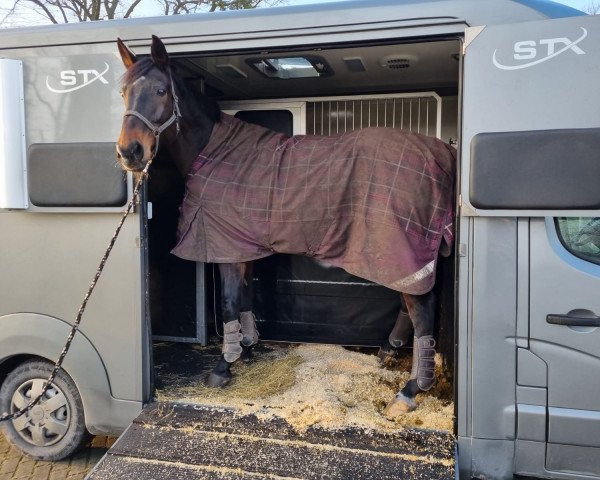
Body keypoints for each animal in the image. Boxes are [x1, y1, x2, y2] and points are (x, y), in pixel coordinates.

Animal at [116, 35, 454, 414]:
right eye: (123, 92)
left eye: (161, 90)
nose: (130, 152)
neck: (216, 152)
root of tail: (441, 152)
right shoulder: (243, 245)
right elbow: (245, 296)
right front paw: (247, 349)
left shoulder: (226, 247)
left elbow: (230, 300)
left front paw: (223, 367)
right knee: (411, 305)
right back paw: (388, 353)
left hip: (399, 249)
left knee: (421, 308)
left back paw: (409, 391)